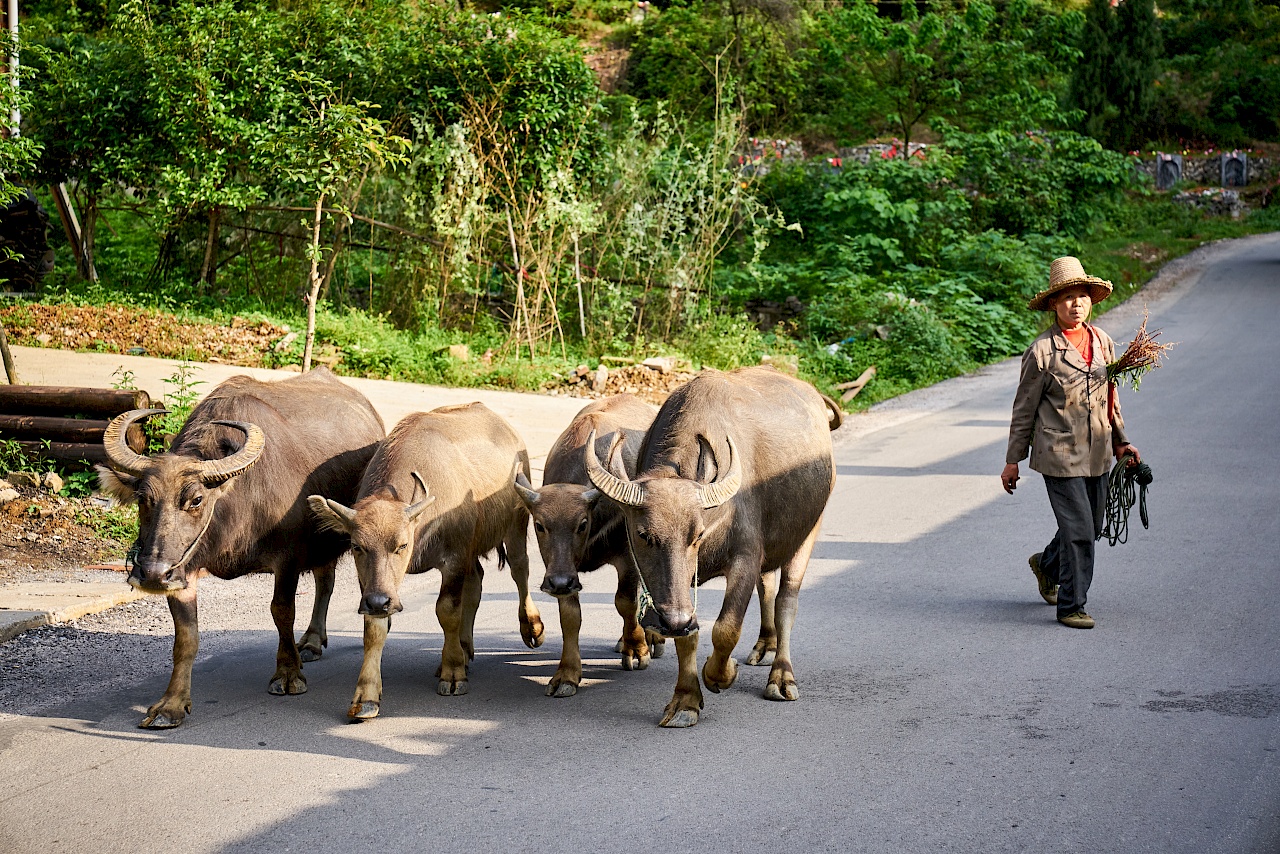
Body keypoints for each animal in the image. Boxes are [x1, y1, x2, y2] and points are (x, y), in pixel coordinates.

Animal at [98, 368, 384, 727]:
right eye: (142, 499)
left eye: (196, 499)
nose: (151, 574)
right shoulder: (184, 569)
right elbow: (186, 635)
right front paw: (171, 704)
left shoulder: (288, 558)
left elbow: (282, 611)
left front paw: (287, 674)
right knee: (325, 580)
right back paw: (312, 641)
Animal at [312, 402, 547, 722]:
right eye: (357, 546)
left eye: (401, 545)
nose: (379, 601)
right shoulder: (373, 586)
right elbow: (374, 629)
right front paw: (367, 697)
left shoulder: (455, 559)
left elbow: (447, 611)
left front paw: (453, 673)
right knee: (476, 583)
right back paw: (465, 649)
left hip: (515, 525)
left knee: (520, 569)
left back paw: (530, 628)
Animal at [512, 396, 665, 696]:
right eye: (540, 525)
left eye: (582, 523)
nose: (559, 583)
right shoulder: (560, 568)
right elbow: (570, 616)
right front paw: (567, 674)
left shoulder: (628, 559)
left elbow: (625, 602)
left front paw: (636, 648)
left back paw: (651, 638)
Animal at [586, 366, 839, 727]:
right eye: (644, 535)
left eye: (698, 535)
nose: (673, 620)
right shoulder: (678, 594)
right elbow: (688, 636)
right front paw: (685, 701)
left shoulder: (745, 556)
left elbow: (726, 628)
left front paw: (720, 674)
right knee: (767, 586)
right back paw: (765, 645)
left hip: (808, 531)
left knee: (786, 601)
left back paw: (781, 676)